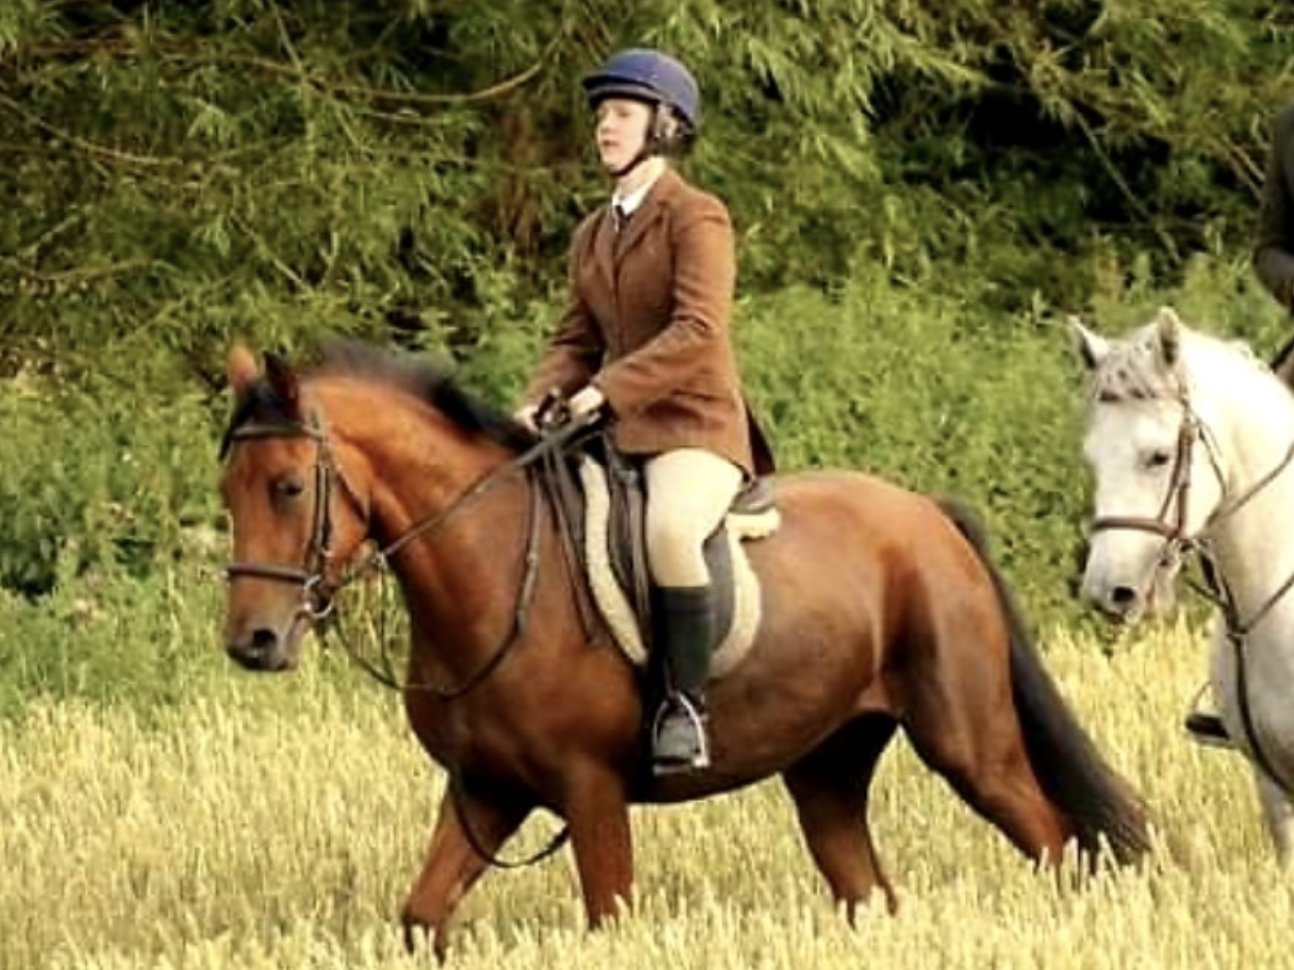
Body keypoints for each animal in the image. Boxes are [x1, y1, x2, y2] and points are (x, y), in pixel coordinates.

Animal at [218, 339, 1152, 956]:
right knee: (872, 892)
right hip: (827, 770)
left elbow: (608, 921)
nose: (253, 642)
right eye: (228, 492)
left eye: (289, 486)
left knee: (1055, 843)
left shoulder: (590, 793)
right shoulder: (485, 791)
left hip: (969, 746)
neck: (496, 570)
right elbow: (422, 915)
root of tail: (928, 515)